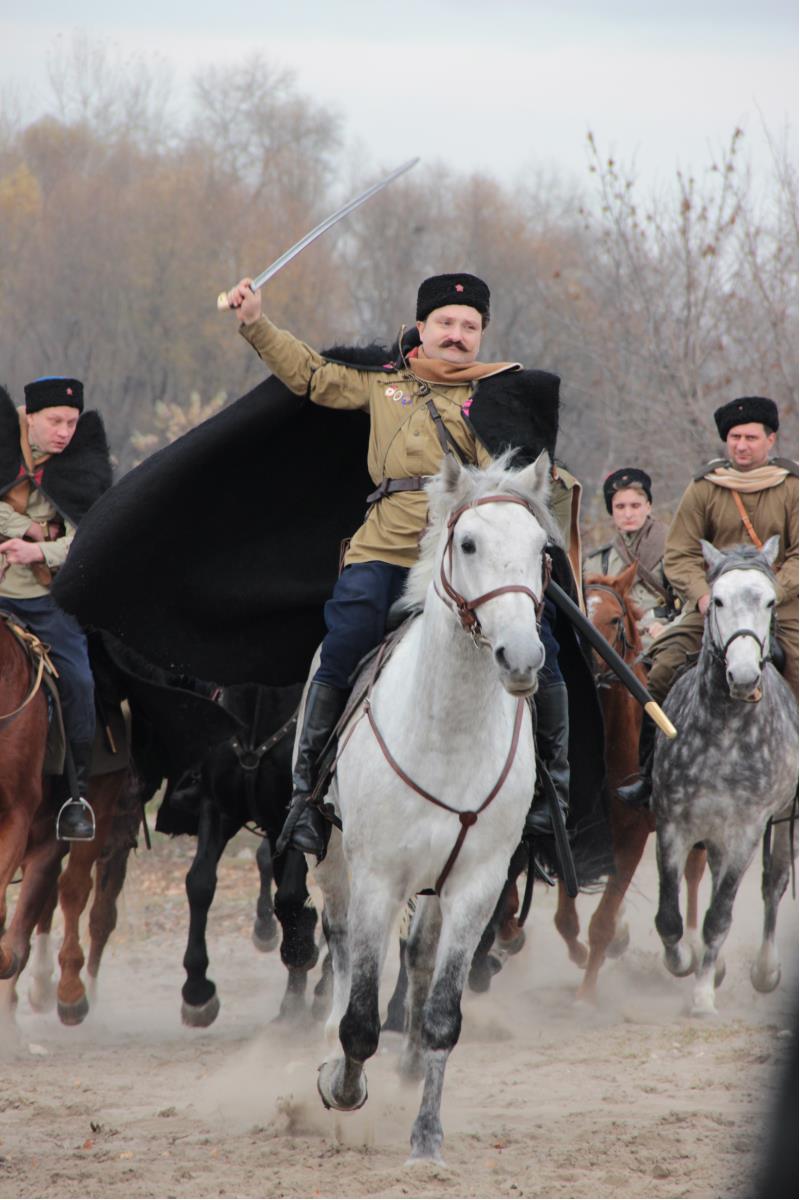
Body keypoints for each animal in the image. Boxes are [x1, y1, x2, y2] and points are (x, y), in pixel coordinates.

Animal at [310, 451, 555, 1164]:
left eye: (542, 550)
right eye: (468, 543)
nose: (522, 656)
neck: (448, 730)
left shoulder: (477, 885)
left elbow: (445, 1015)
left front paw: (426, 1137)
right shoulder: (377, 880)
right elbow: (361, 1018)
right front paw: (341, 1085)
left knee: (419, 953)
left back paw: (412, 1062)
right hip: (335, 861)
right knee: (340, 945)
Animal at [553, 564, 706, 1002]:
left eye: (614, 620)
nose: (587, 664)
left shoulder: (632, 835)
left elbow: (601, 922)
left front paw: (585, 995)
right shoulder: (577, 832)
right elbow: (566, 918)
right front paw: (579, 954)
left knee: (694, 870)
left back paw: (693, 947)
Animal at [653, 539, 798, 1017]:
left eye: (770, 601)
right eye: (716, 600)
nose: (744, 676)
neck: (726, 732)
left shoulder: (747, 833)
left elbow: (719, 917)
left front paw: (702, 995)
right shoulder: (673, 824)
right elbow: (668, 915)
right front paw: (684, 961)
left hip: (782, 819)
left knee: (773, 883)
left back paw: (765, 970)